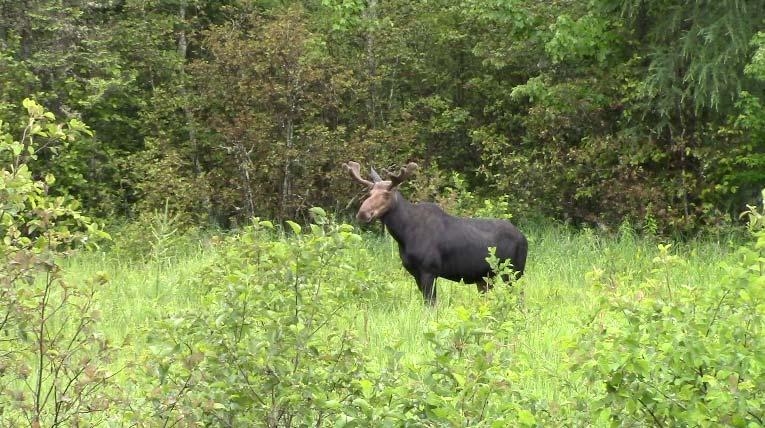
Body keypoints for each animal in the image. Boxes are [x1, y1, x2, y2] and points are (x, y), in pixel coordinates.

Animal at [344, 160, 528, 304]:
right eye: (369, 193)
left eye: (386, 194)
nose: (363, 213)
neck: (403, 235)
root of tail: (524, 238)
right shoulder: (415, 272)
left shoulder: (429, 270)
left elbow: (431, 304)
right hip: (485, 277)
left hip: (514, 271)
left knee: (520, 297)